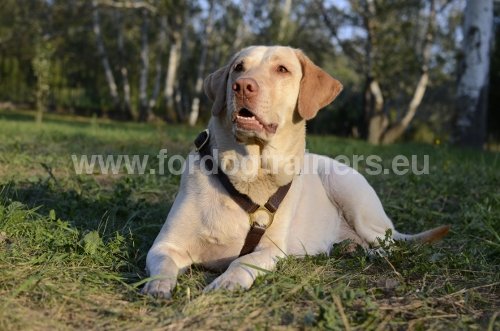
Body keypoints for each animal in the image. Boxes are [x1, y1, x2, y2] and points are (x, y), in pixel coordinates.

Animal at [142, 44, 450, 298]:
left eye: (282, 69)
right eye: (238, 67)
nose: (242, 86)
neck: (250, 176)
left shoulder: (271, 249)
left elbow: (243, 260)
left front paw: (228, 281)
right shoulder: (165, 244)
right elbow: (163, 264)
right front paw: (158, 286)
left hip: (351, 194)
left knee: (388, 243)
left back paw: (376, 253)